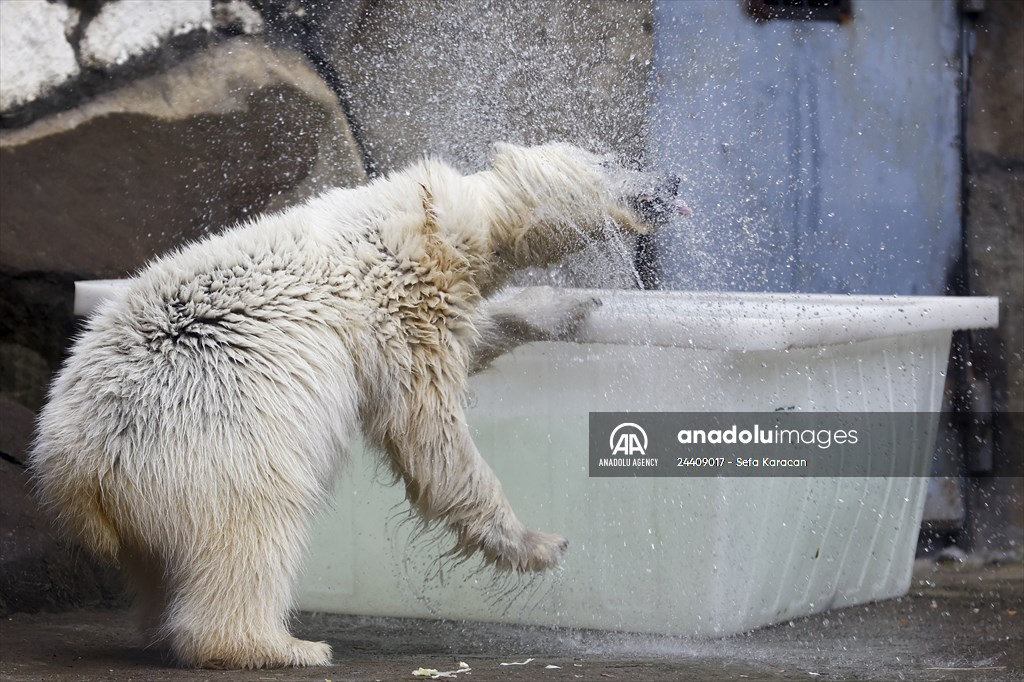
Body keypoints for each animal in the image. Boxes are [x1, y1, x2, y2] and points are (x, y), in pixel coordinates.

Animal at [29, 142, 684, 669]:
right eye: (613, 159)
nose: (675, 180)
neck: (442, 219)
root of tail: (72, 467)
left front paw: (569, 305)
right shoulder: (405, 300)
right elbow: (430, 431)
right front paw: (540, 544)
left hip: (149, 489)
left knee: (161, 565)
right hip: (216, 439)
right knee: (254, 529)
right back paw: (282, 647)